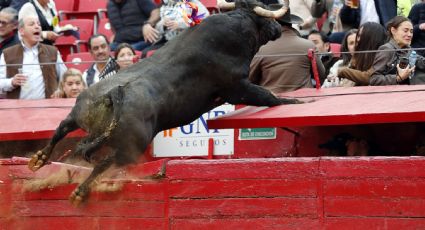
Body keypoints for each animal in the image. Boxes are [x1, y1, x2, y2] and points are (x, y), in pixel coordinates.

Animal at [28, 0, 300, 205]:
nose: (279, 28)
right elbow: (266, 95)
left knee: (62, 129)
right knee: (105, 162)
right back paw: (79, 191)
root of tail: (113, 94)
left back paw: (39, 160)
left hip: (79, 115)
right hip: (133, 145)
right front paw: (293, 99)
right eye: (265, 15)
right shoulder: (237, 87)